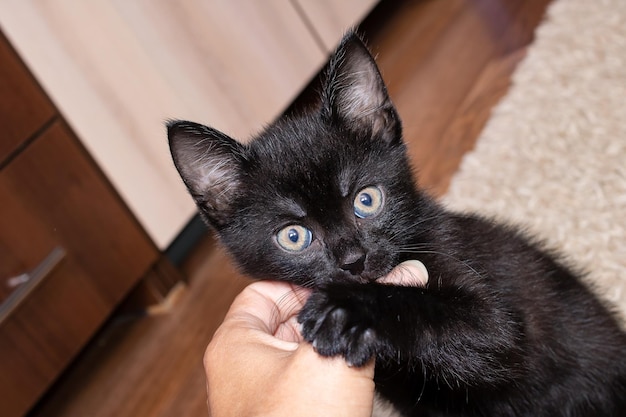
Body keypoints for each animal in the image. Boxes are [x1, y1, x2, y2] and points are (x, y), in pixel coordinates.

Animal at [168, 32, 624, 416]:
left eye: (366, 200)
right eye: (294, 236)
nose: (353, 260)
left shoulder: (489, 311)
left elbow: (442, 313)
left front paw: (349, 309)